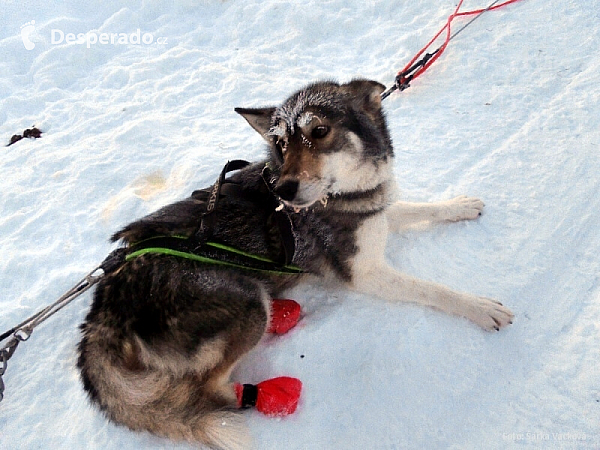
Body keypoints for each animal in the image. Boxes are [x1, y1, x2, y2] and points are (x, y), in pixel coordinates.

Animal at [77, 79, 512, 448]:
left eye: (318, 132)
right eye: (281, 144)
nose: (284, 188)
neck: (341, 196)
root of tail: (104, 305)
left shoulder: (376, 215)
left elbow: (414, 208)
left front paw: (458, 205)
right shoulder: (365, 273)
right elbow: (433, 289)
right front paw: (480, 307)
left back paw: (284, 312)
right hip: (242, 301)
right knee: (210, 388)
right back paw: (268, 393)